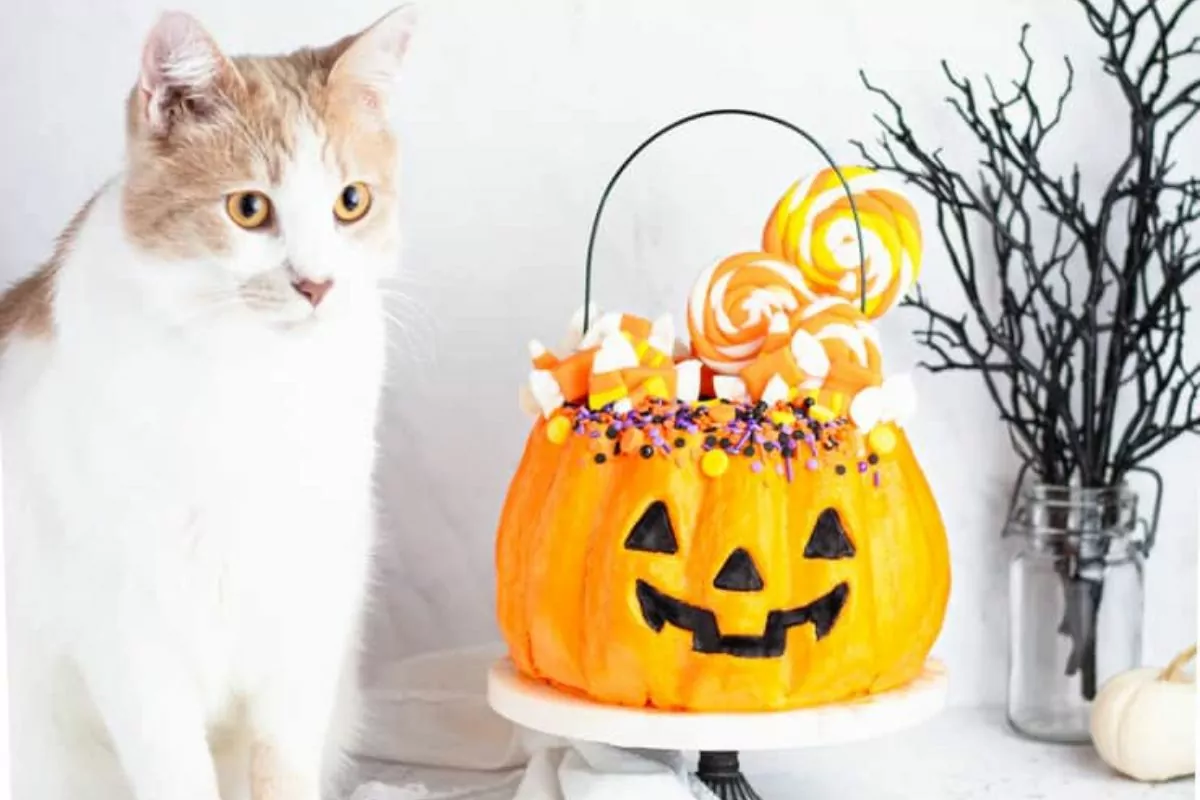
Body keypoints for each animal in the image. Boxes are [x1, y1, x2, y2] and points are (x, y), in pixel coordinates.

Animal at [0, 7, 417, 800]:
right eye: (249, 209)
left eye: (351, 202)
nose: (318, 284)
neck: (250, 377)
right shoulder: (133, 636)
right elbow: (175, 771)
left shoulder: (308, 605)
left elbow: (284, 765)